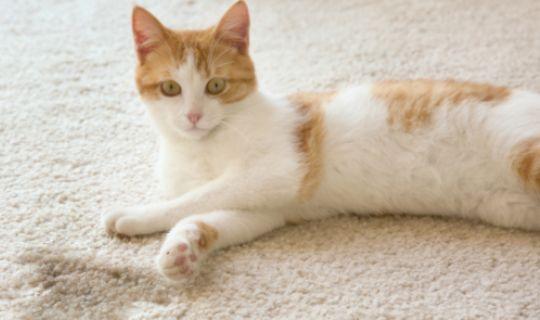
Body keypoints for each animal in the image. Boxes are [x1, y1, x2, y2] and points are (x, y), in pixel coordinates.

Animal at [103, 0, 540, 280]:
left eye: (215, 85)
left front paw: (135, 215)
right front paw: (182, 251)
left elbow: (195, 198)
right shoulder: (267, 208)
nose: (193, 116)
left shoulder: (280, 171)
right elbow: (208, 215)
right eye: (171, 88)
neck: (200, 148)